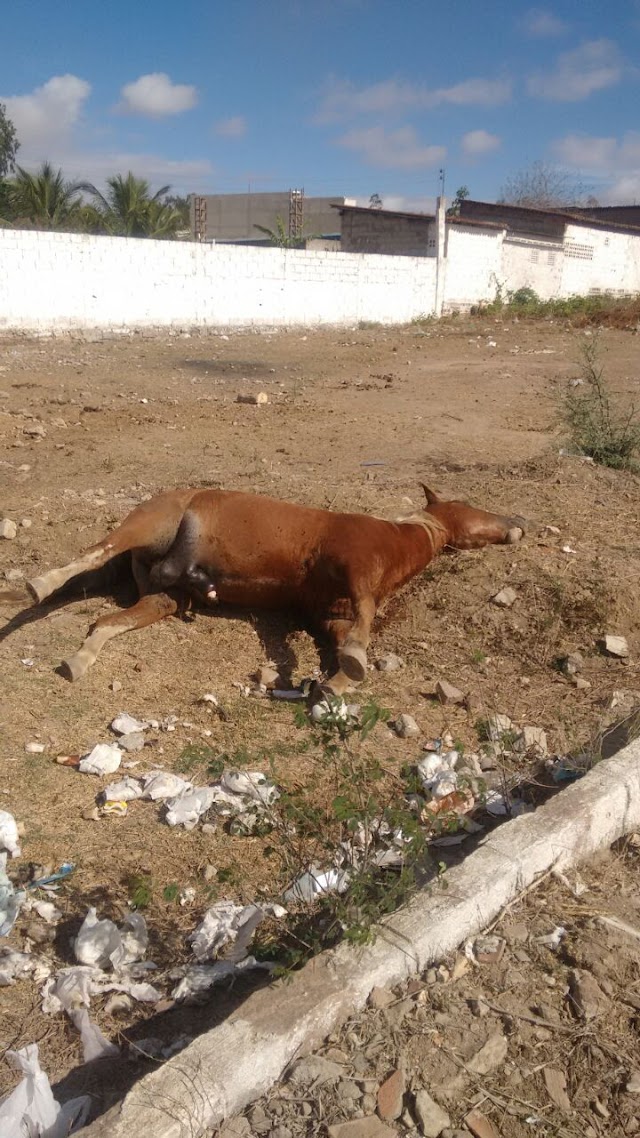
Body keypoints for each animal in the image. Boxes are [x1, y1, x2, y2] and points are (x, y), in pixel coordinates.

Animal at [3, 484, 523, 687]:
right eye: (472, 507)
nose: (517, 523)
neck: (396, 540)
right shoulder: (354, 566)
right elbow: (366, 615)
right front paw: (353, 665)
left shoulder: (328, 614)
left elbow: (344, 638)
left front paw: (335, 685)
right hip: (144, 525)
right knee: (92, 553)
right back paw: (36, 585)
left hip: (163, 598)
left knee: (106, 622)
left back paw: (79, 660)